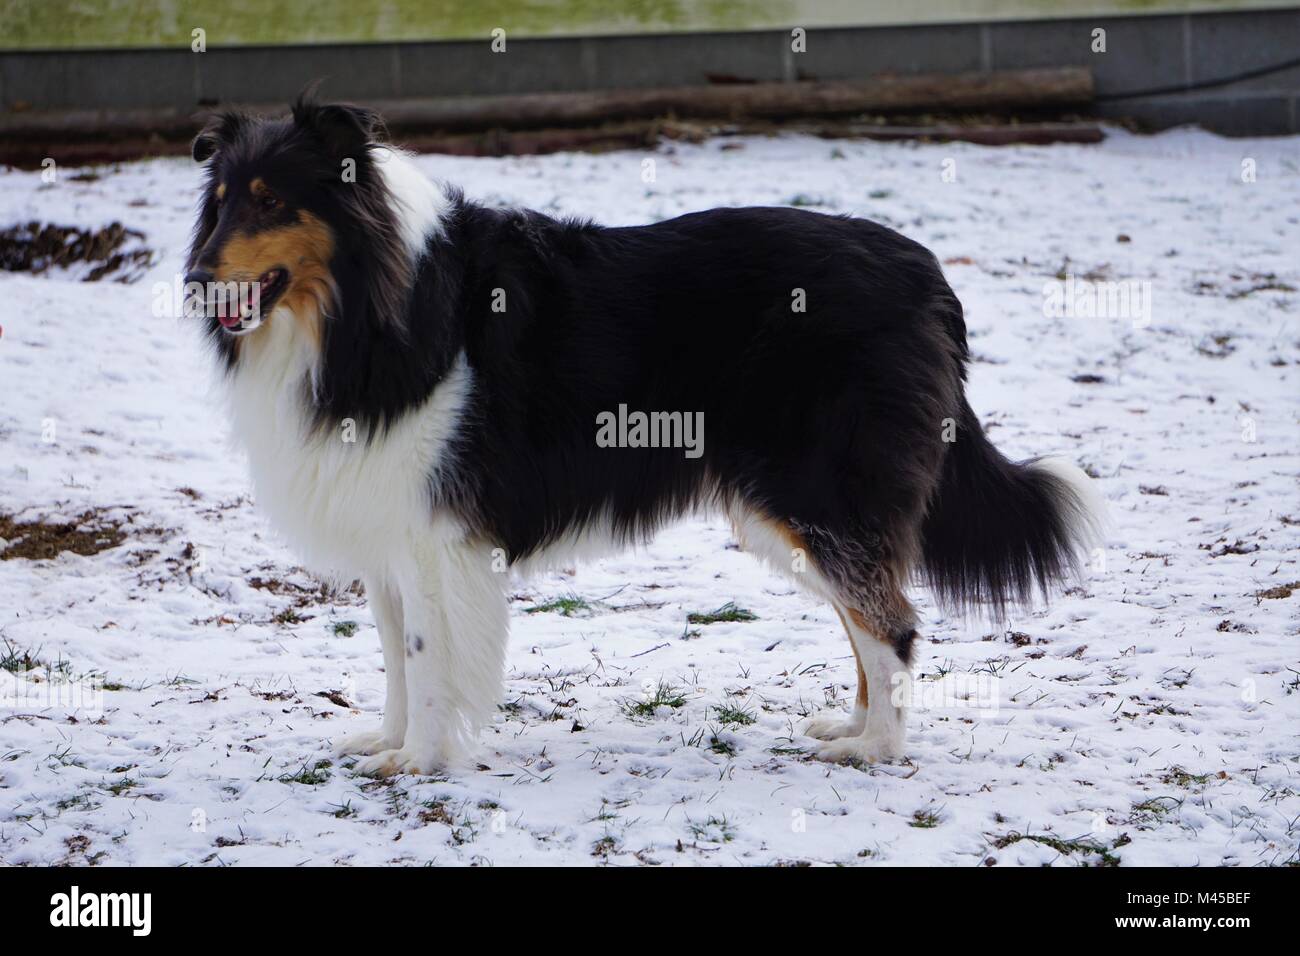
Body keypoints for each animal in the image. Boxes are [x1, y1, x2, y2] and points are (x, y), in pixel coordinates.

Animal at [180, 97, 1097, 775]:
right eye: (219, 204)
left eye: (272, 199)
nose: (191, 280)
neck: (362, 303)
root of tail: (927, 273)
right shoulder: (388, 524)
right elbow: (396, 657)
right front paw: (391, 740)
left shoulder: (440, 537)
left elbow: (429, 656)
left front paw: (421, 762)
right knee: (865, 616)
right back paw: (851, 728)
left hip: (817, 492)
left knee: (893, 623)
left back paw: (877, 749)